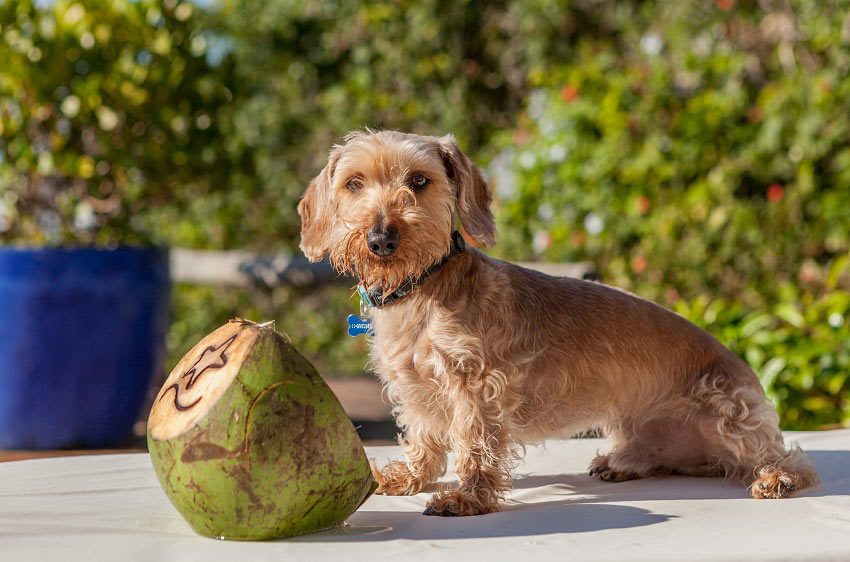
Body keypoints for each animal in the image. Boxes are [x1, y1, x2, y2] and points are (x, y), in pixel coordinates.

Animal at [296, 129, 816, 516]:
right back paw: (622, 463)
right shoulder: (414, 387)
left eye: (419, 181)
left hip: (732, 413)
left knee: (788, 456)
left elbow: (474, 441)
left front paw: (468, 496)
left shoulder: (476, 385)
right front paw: (409, 477)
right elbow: (423, 437)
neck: (422, 291)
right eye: (354, 183)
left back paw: (779, 478)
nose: (381, 239)